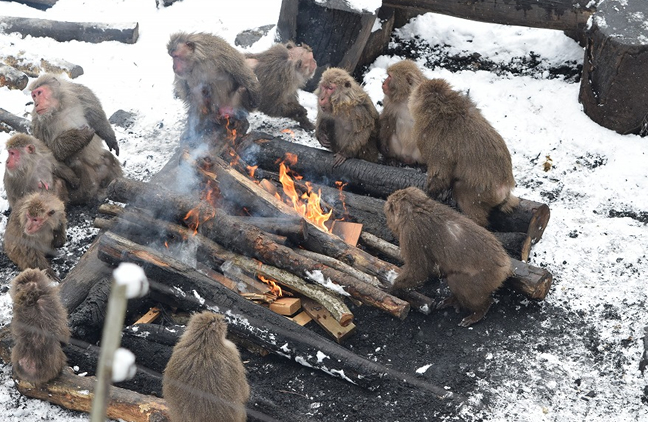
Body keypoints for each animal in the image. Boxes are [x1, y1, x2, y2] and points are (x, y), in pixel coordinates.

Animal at [28, 74, 124, 206]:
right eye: (34, 96)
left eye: (39, 93)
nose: (36, 104)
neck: (59, 108)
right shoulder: (39, 123)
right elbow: (46, 155)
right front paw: (80, 135)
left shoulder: (82, 93)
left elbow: (96, 117)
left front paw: (111, 138)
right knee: (76, 164)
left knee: (107, 157)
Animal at [384, 186, 512, 328]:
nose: (387, 218)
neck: (416, 208)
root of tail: (506, 266)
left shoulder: (411, 234)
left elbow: (419, 269)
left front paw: (393, 286)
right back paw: (453, 301)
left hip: (485, 277)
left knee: (458, 282)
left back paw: (478, 311)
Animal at [408, 77, 520, 226]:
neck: (444, 109)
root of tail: (506, 187)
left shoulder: (434, 141)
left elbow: (440, 173)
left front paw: (431, 192)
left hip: (484, 193)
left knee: (462, 190)